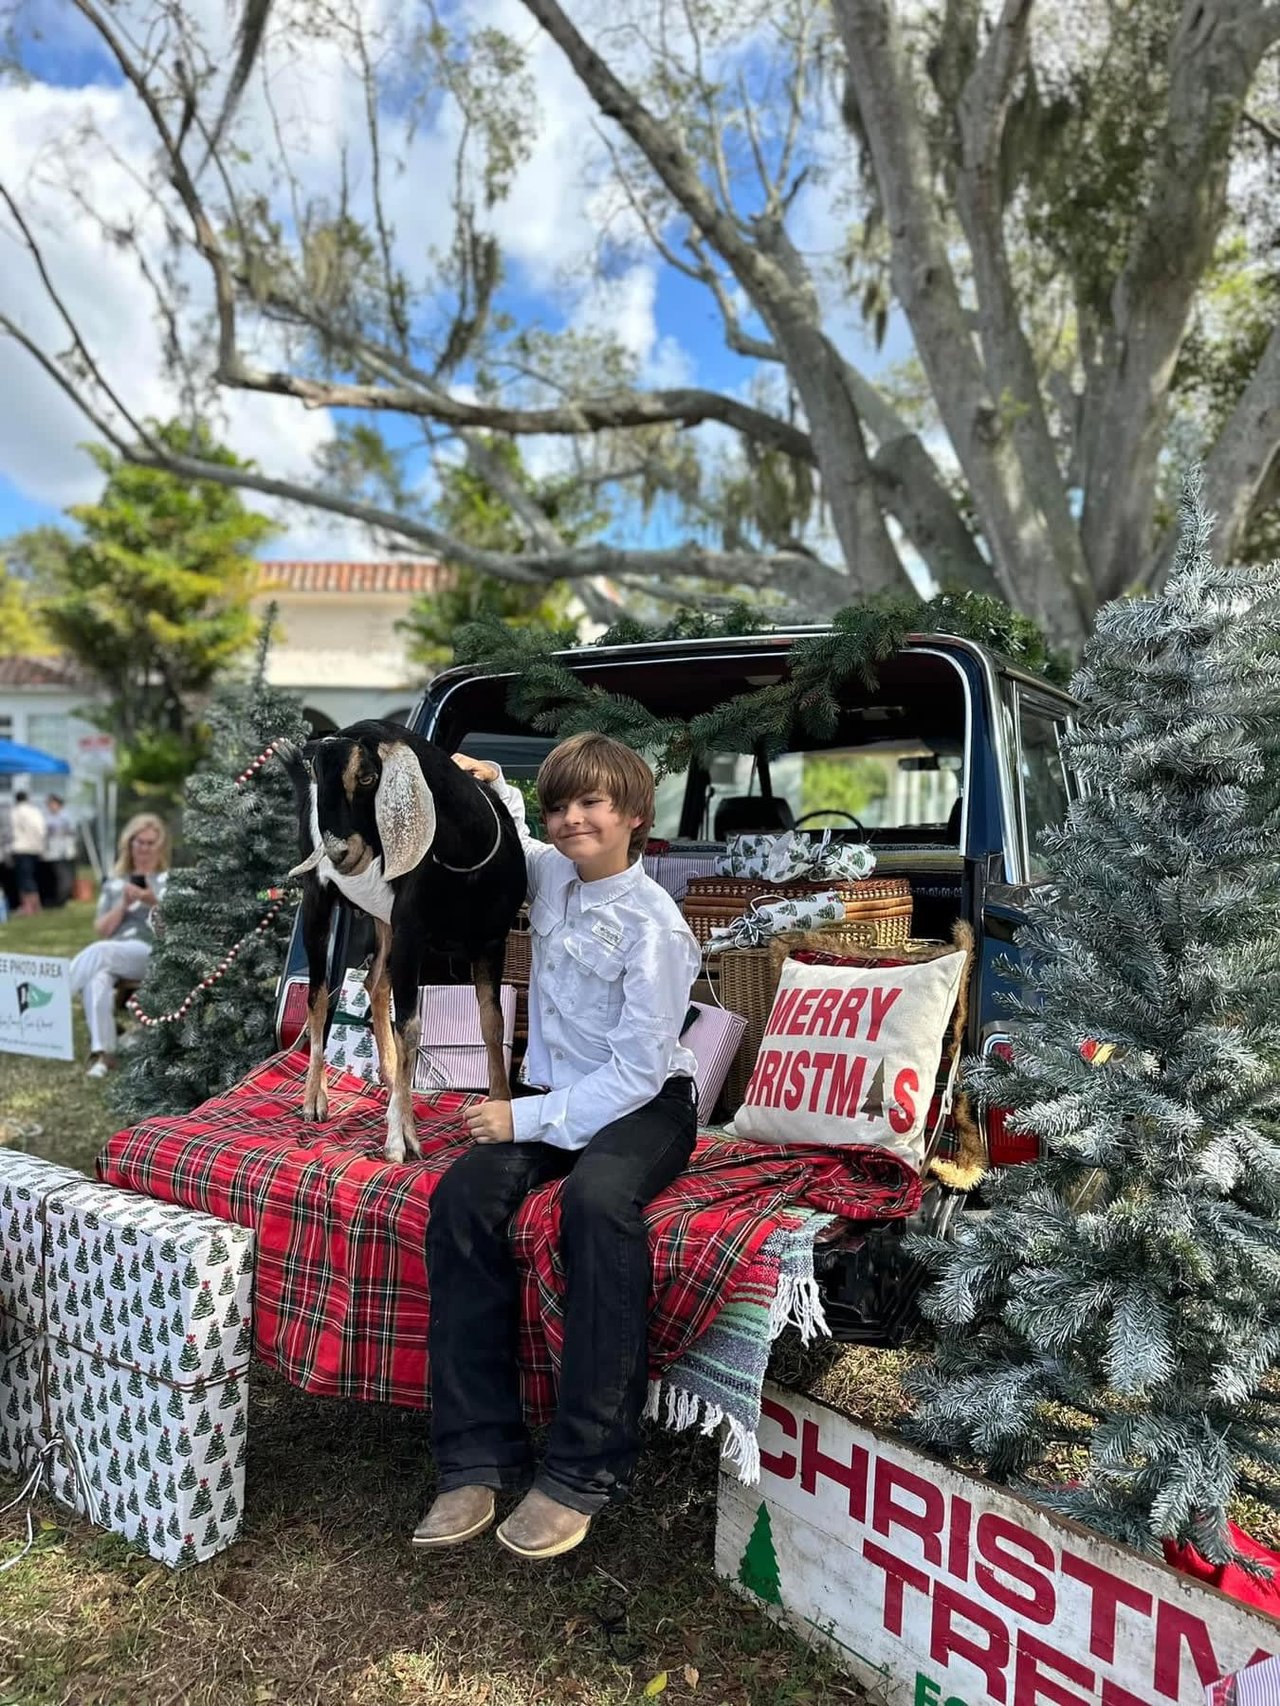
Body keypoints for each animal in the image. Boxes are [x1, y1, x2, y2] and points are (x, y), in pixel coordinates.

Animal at [276, 719, 525, 1160]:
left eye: (366, 776)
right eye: (320, 774)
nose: (338, 852)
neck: (466, 863)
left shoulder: (491, 943)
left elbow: (492, 1023)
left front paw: (500, 1105)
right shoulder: (412, 935)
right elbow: (409, 1027)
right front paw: (400, 1139)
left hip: (384, 922)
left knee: (374, 983)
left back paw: (392, 1083)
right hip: (319, 901)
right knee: (319, 996)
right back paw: (315, 1100)